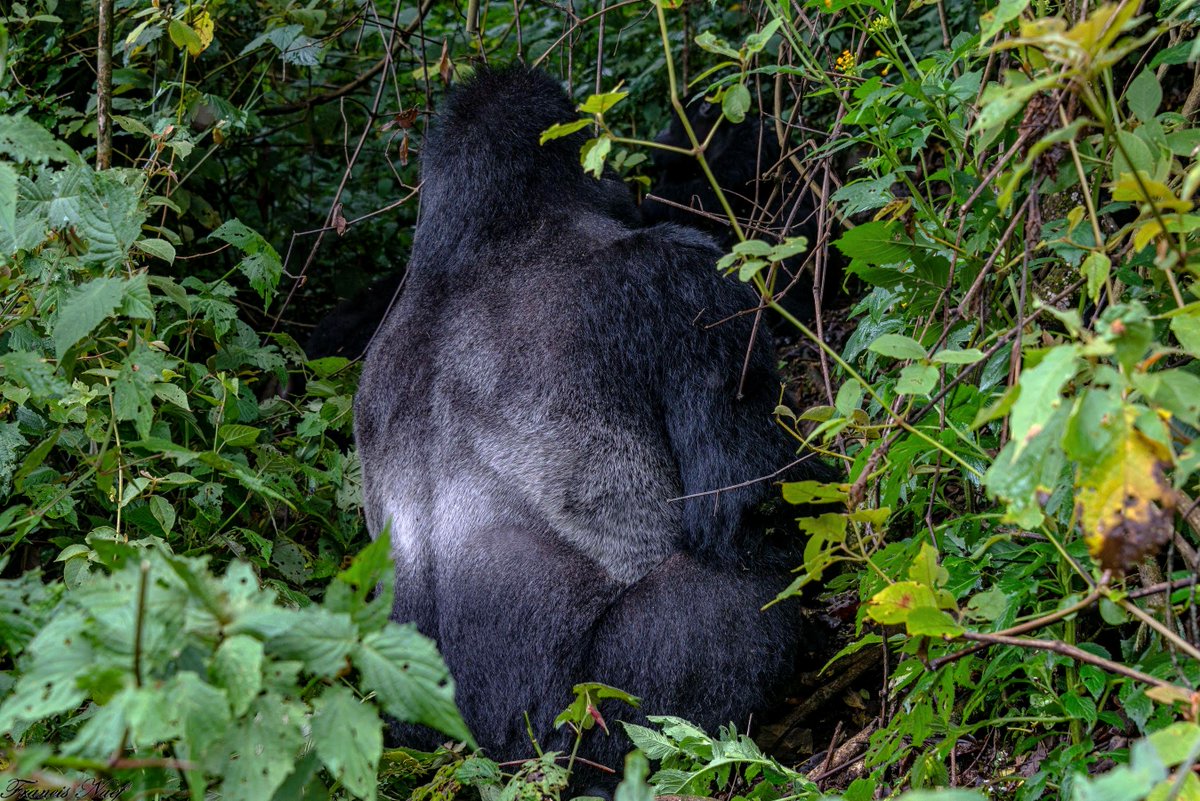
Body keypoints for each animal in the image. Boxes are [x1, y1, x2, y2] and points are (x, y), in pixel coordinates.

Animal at [354, 65, 831, 772]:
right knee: (730, 593)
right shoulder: (680, 280)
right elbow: (747, 503)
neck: (487, 237)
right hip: (583, 716)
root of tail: (488, 754)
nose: (621, 190)